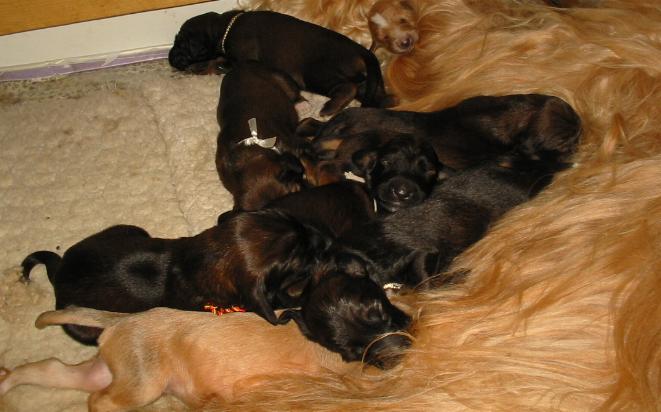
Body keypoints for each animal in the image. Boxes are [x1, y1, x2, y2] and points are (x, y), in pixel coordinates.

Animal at [0, 307, 355, 410]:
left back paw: (6, 381)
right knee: (99, 402)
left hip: (110, 372)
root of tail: (120, 320)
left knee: (53, 368)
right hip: (142, 386)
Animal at [21, 209, 341, 345]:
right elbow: (282, 298)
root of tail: (58, 275)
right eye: (298, 259)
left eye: (296, 220)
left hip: (129, 230)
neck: (199, 259)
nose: (329, 240)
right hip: (82, 328)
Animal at [169, 10, 392, 116]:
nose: (170, 58)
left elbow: (214, 62)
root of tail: (363, 51)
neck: (225, 28)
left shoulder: (238, 59)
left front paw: (194, 68)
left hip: (316, 72)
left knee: (347, 87)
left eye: (180, 43)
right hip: (369, 85)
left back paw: (328, 108)